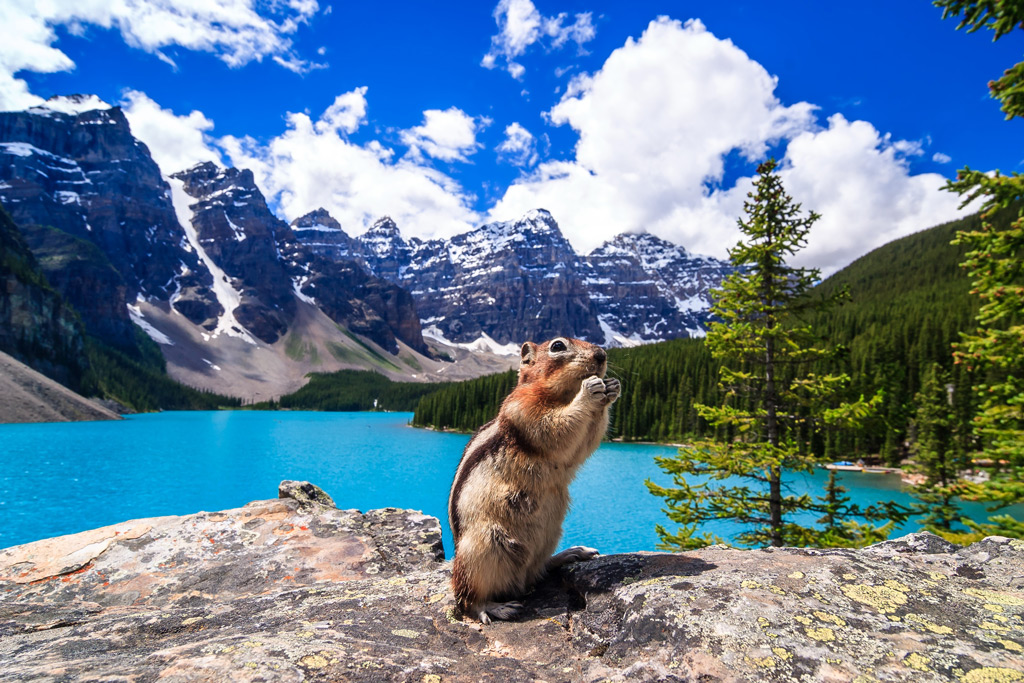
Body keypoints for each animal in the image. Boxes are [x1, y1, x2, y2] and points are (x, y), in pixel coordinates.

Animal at [446, 335, 618, 626]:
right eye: (558, 345)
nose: (601, 355)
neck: (561, 394)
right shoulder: (524, 408)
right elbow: (556, 427)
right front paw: (589, 391)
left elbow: (583, 444)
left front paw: (613, 388)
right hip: (482, 548)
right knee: (467, 598)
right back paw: (494, 608)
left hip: (550, 536)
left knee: (537, 571)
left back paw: (569, 554)